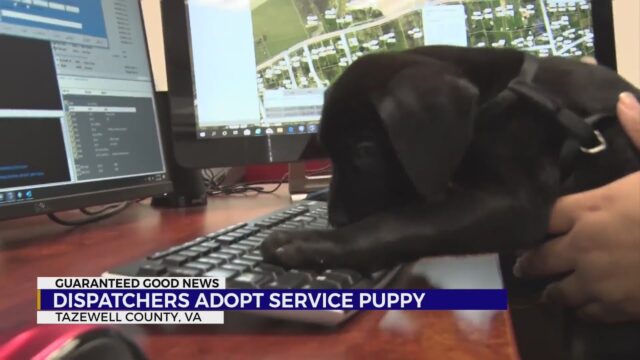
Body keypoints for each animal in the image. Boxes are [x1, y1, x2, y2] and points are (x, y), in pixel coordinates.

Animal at [262, 45, 640, 272]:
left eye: (364, 151)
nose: (337, 221)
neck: (496, 98)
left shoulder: (514, 203)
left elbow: (398, 221)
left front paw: (306, 242)